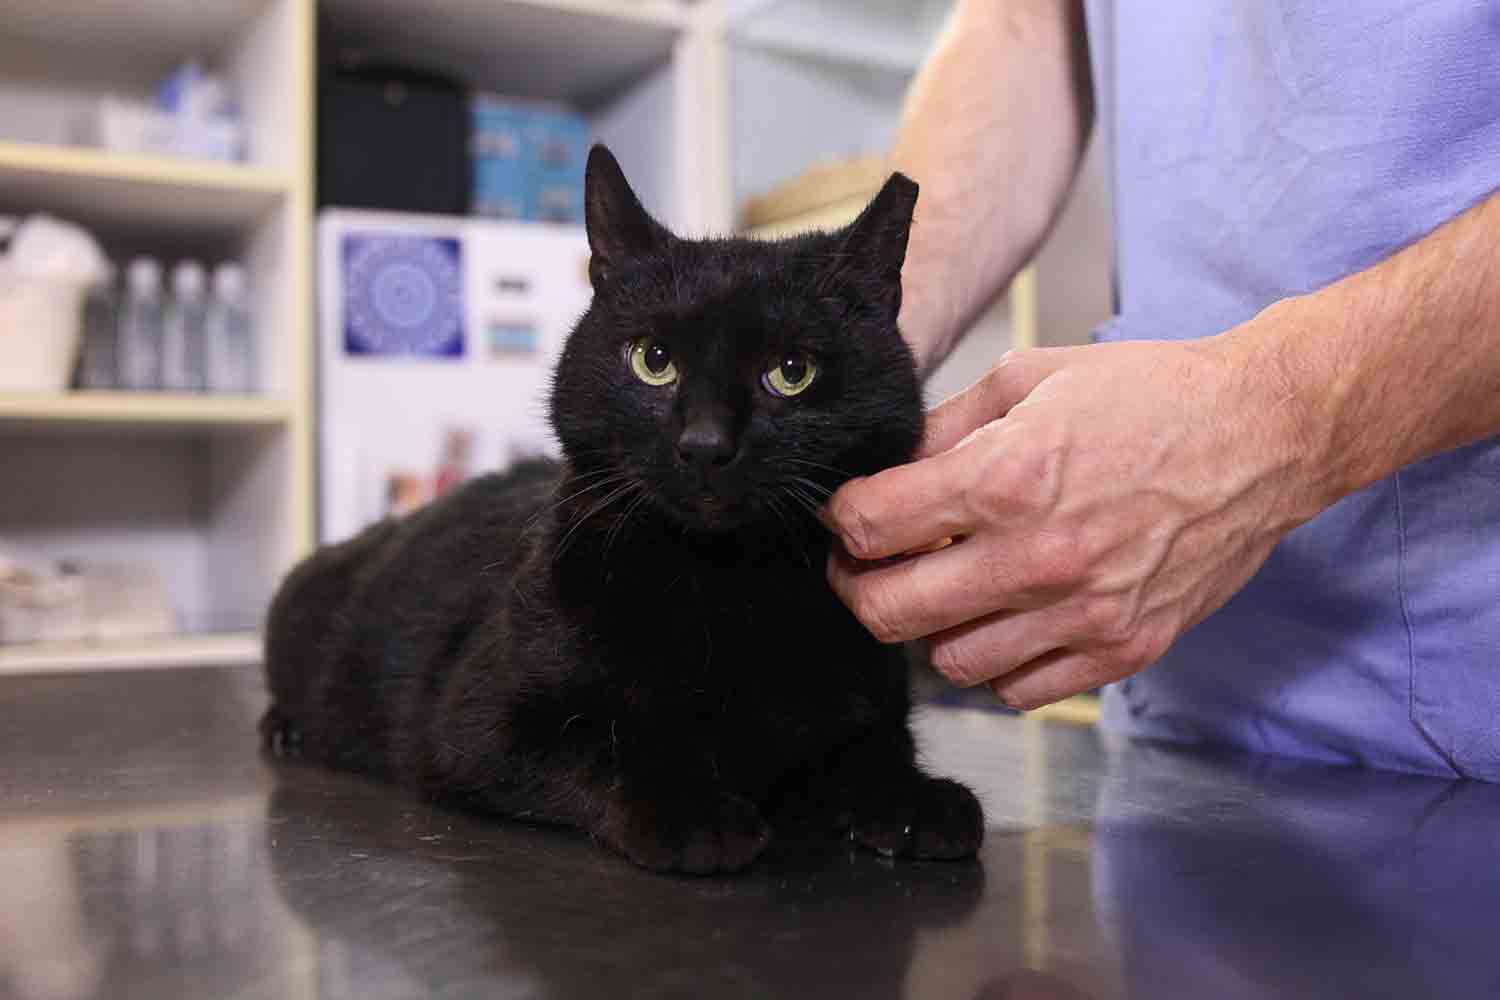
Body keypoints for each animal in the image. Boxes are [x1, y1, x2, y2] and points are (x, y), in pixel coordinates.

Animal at [262, 144, 978, 869]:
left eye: (791, 371)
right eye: (653, 360)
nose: (705, 445)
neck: (728, 587)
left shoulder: (869, 705)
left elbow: (870, 751)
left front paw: (914, 799)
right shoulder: (475, 724)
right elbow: (605, 746)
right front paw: (691, 808)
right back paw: (284, 728)